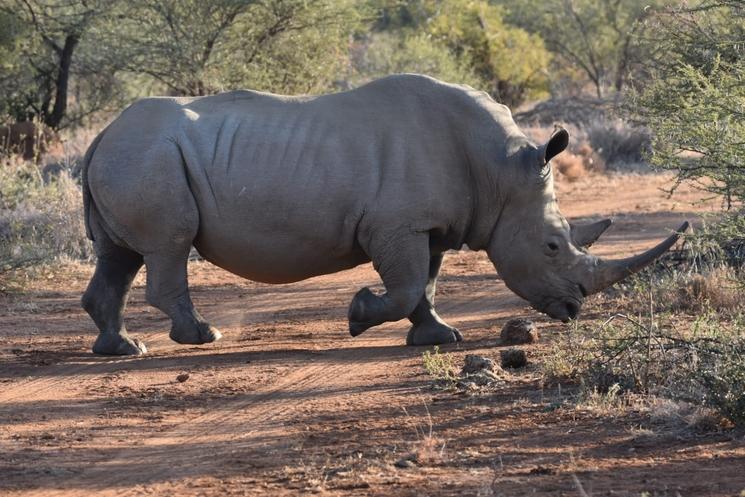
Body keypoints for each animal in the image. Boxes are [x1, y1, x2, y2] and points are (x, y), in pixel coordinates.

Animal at [81, 74, 687, 355]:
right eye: (553, 247)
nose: (574, 309)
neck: (499, 171)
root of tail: (101, 134)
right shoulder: (396, 224)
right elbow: (407, 285)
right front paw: (356, 316)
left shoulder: (432, 225)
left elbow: (427, 285)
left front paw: (440, 338)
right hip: (147, 157)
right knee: (167, 245)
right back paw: (201, 338)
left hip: (132, 155)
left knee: (119, 255)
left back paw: (121, 348)